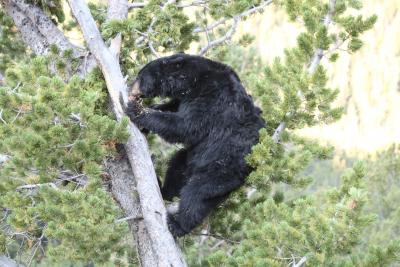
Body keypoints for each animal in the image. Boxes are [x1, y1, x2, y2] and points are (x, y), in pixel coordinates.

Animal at [127, 53, 266, 238]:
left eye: (140, 76)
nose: (131, 89)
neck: (193, 80)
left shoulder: (213, 97)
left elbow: (186, 126)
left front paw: (137, 111)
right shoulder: (188, 96)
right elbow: (174, 107)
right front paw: (152, 110)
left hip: (223, 169)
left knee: (196, 194)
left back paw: (178, 225)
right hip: (192, 161)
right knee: (177, 167)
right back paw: (164, 191)